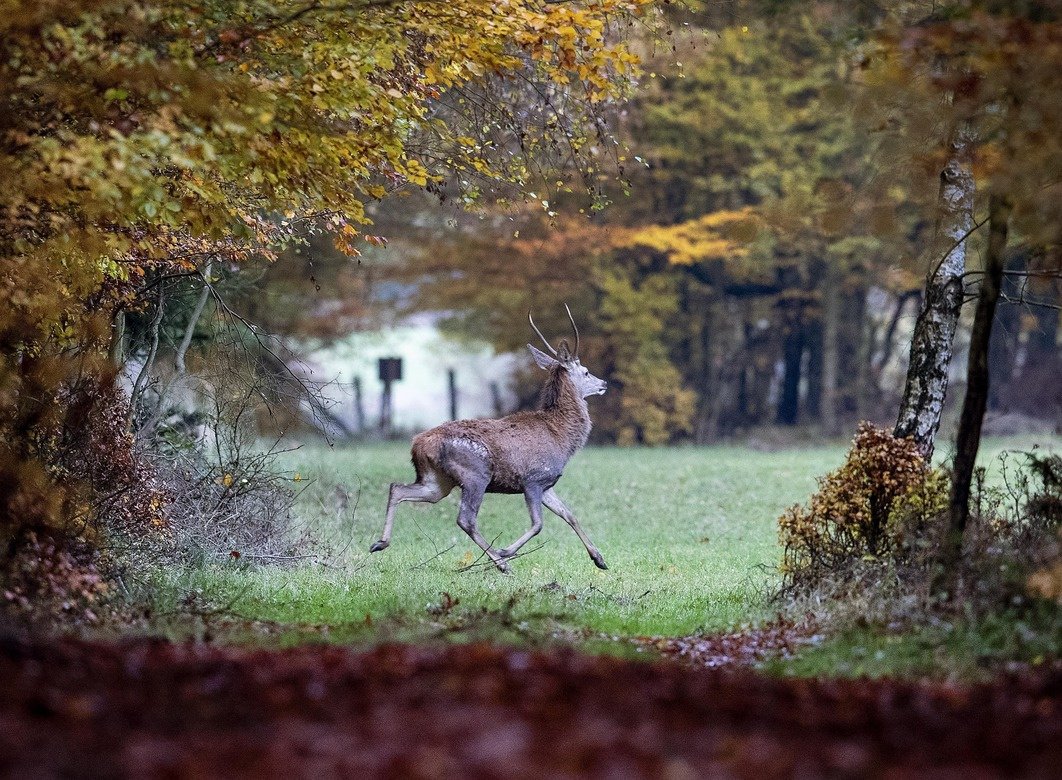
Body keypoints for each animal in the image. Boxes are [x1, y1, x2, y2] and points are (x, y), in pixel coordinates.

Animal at [371, 306, 607, 573]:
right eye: (586, 371)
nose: (604, 383)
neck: (561, 437)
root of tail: (419, 445)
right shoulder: (533, 479)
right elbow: (538, 524)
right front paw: (506, 551)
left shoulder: (547, 483)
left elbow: (569, 515)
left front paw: (599, 559)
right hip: (475, 473)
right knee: (466, 519)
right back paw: (500, 562)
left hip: (437, 480)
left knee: (398, 488)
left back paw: (379, 543)